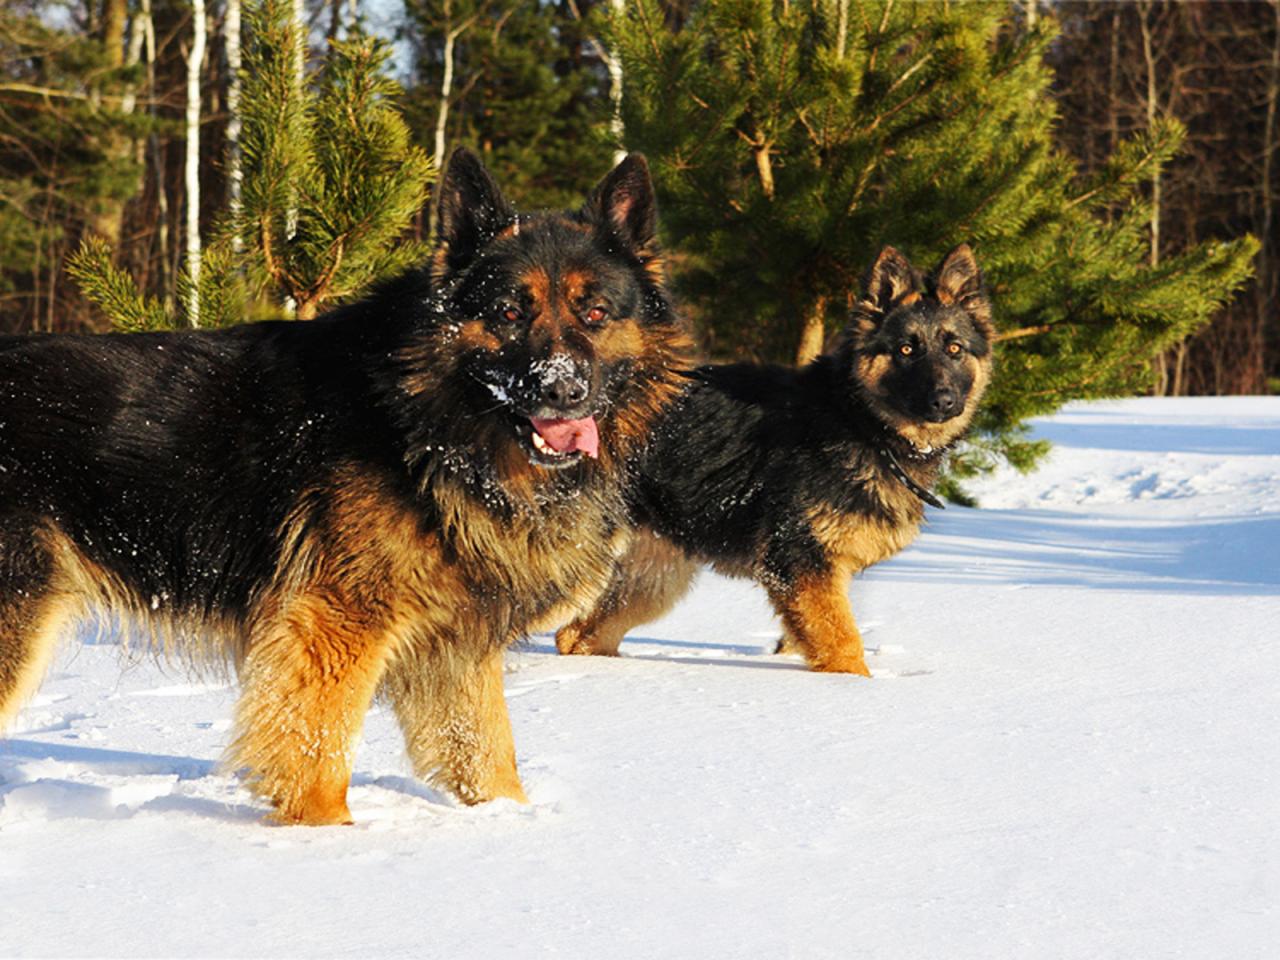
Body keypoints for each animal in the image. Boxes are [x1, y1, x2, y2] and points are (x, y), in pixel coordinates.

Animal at [0, 150, 696, 829]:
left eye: (596, 313)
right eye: (506, 314)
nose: (562, 390)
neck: (420, 420)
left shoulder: (454, 643)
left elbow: (488, 752)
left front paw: (510, 827)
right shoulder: (336, 625)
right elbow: (319, 754)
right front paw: (329, 842)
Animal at [555, 245, 993, 675]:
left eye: (954, 349)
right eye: (906, 349)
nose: (943, 401)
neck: (859, 421)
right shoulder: (802, 561)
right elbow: (843, 644)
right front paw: (856, 687)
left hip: (655, 578)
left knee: (577, 635)